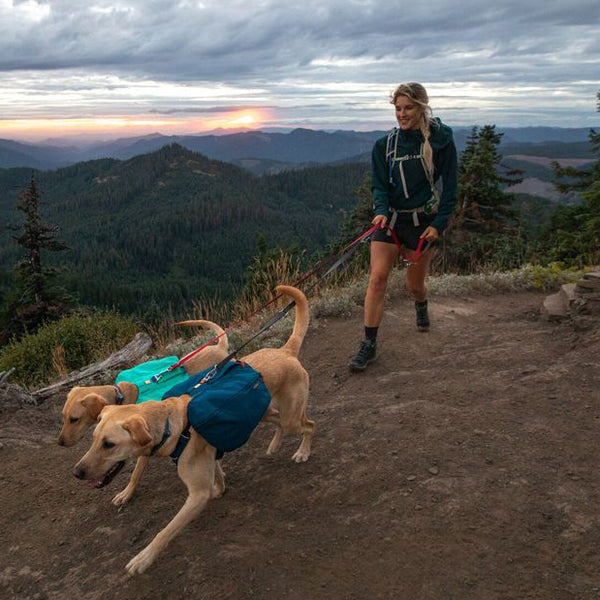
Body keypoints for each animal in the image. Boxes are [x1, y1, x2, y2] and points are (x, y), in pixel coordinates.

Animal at [74, 284, 314, 576]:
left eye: (109, 444)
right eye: (94, 439)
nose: (76, 472)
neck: (174, 425)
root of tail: (285, 350)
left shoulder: (196, 495)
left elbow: (164, 531)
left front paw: (143, 558)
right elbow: (217, 476)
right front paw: (220, 487)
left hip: (290, 416)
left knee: (309, 425)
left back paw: (302, 452)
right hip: (266, 412)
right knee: (284, 424)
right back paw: (274, 445)